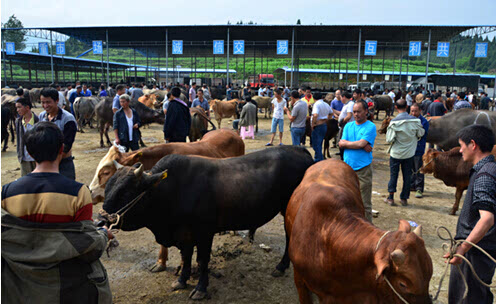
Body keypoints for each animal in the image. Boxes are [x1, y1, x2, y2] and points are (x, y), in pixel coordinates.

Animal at [103, 146, 314, 300]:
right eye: (107, 188)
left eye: (125, 192)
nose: (101, 220)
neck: (172, 191)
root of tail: (299, 149)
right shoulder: (185, 235)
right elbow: (186, 258)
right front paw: (181, 280)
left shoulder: (204, 233)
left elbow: (202, 260)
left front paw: (201, 289)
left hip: (288, 210)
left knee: (289, 236)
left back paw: (281, 266)